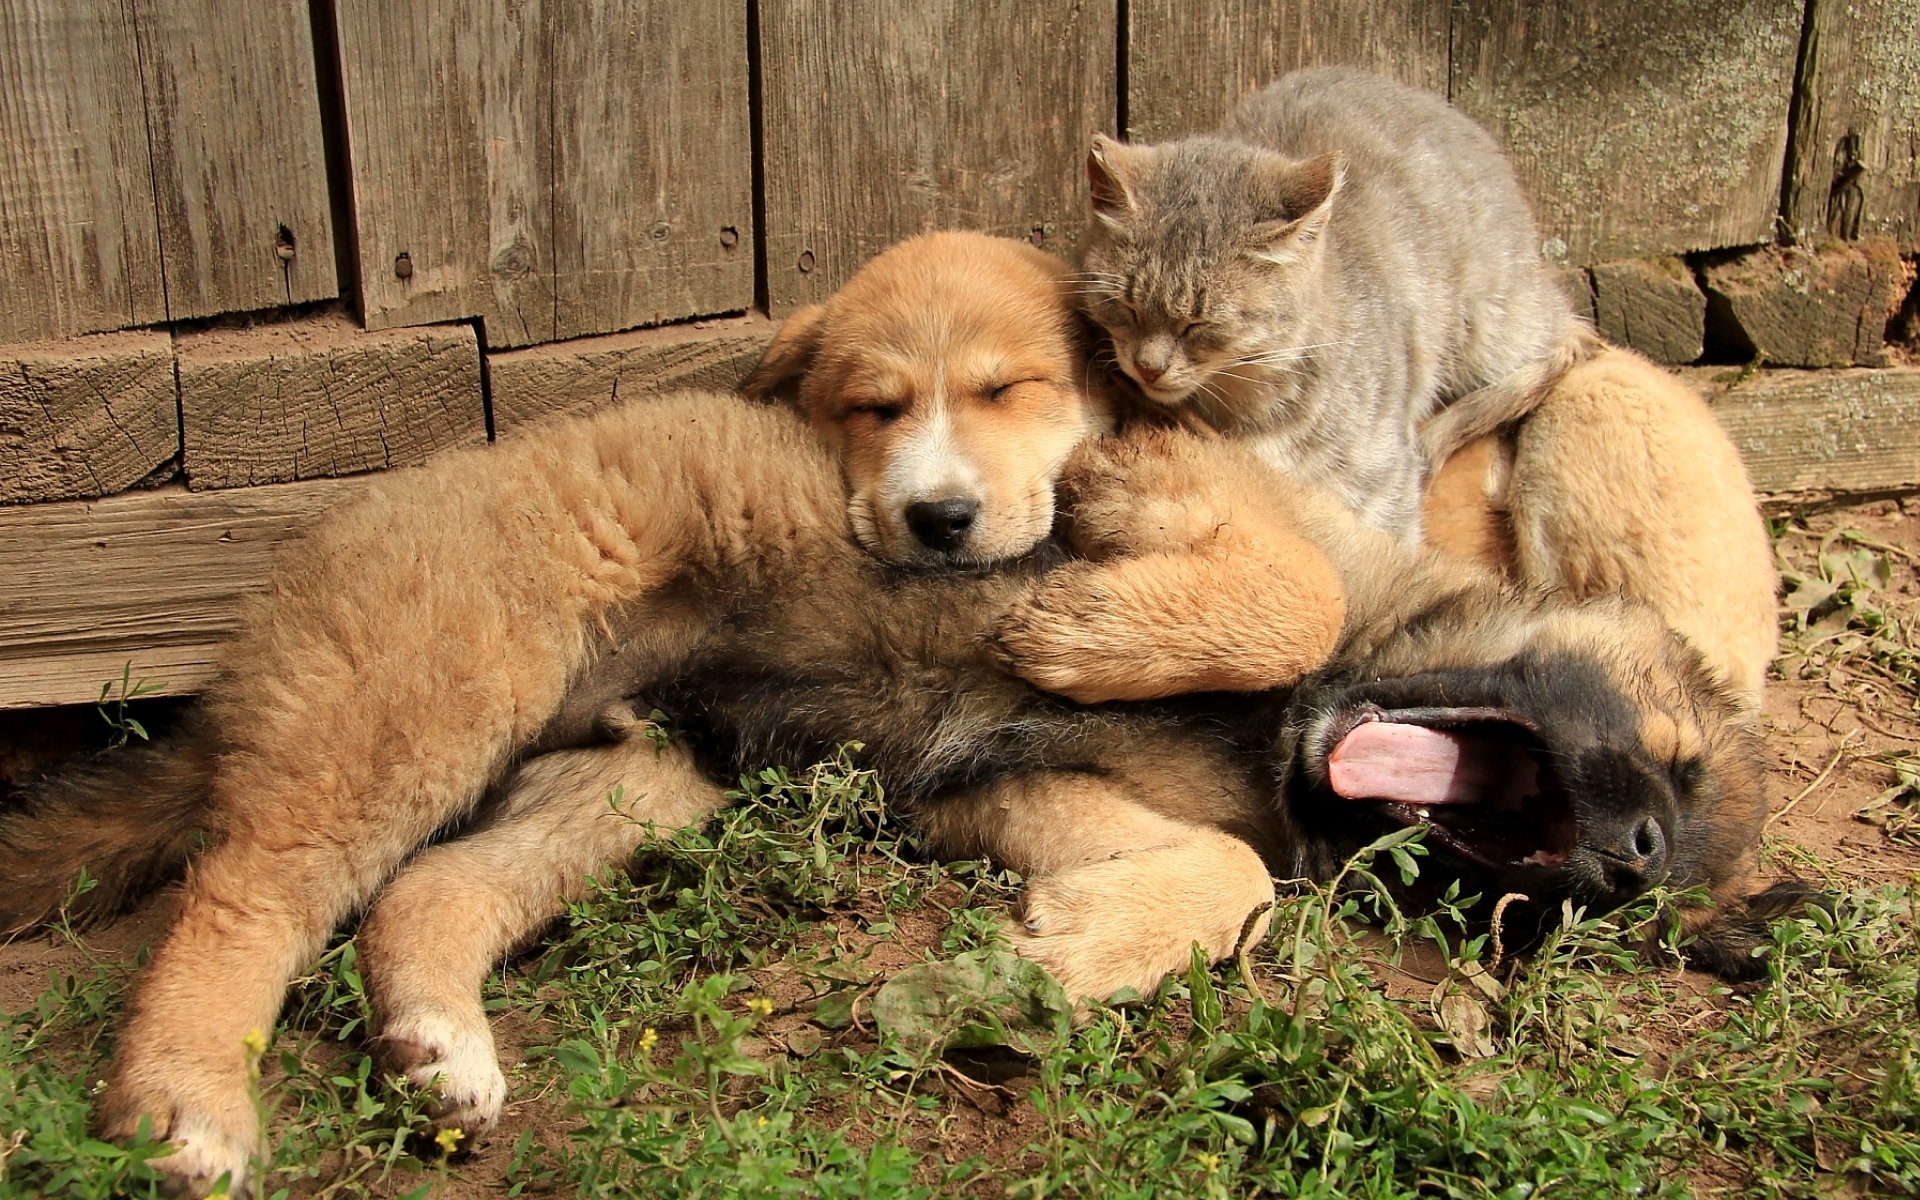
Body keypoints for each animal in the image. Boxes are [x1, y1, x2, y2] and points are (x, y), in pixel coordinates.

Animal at [1078, 66, 1598, 541]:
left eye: (1199, 324)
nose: (1147, 368)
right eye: (1124, 307)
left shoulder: (1380, 483)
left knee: (1572, 334)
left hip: (1495, 320)